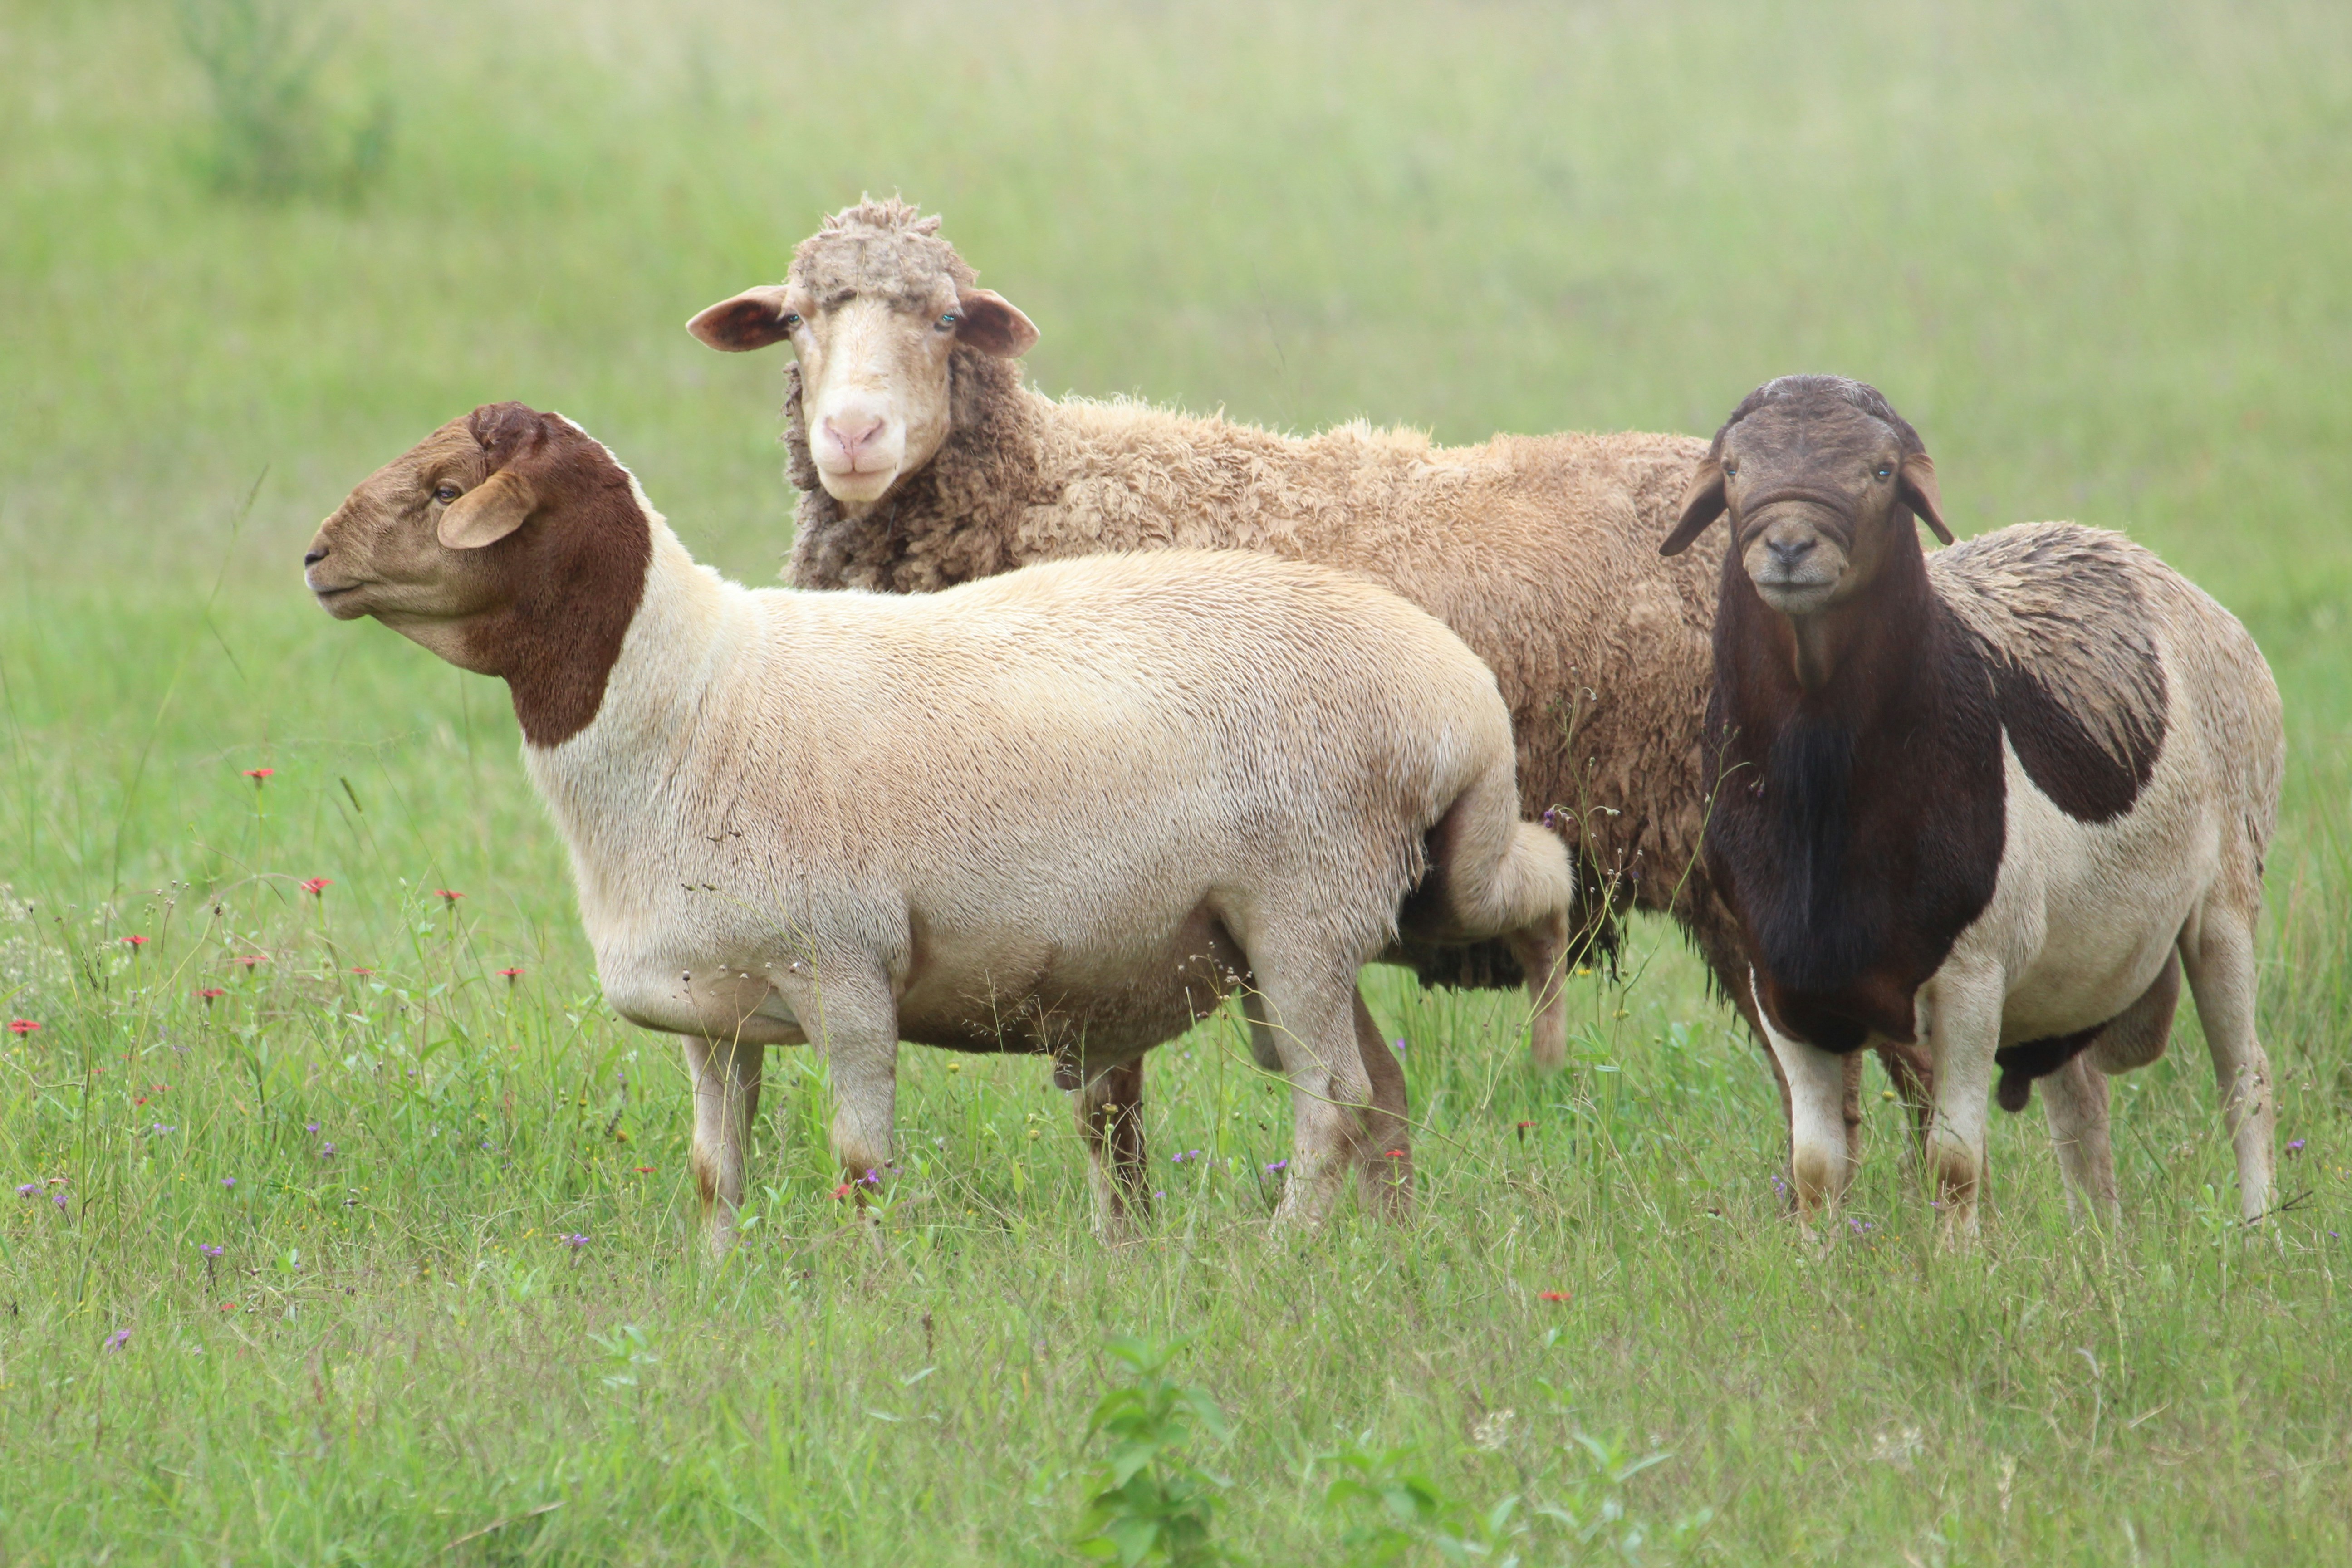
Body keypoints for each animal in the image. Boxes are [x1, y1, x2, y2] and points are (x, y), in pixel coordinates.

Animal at [303, 401, 1577, 1251]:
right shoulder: (712, 1015)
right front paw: (718, 1283)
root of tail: (1456, 694)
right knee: (1387, 1094)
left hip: (1302, 910)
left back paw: (1285, 1257)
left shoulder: (848, 973)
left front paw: (867, 1294)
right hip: (1290, 941)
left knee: (1334, 1104)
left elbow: (862, 1164)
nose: (314, 558)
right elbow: (718, 1169)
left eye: (441, 493)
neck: (688, 705)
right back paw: (1387, 1257)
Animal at [686, 197, 1937, 1167]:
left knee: (1887, 1066)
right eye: (796, 319)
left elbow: (1109, 1114)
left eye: (944, 319)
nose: (854, 437)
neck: (1048, 489)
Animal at [1658, 374, 2283, 1236]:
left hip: (2223, 905)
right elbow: (1815, 1168)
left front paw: (1957, 1263)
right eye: (1732, 470)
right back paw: (2098, 1251)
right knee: (2081, 1113)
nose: (1787, 546)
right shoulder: (1782, 988)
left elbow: (1954, 1164)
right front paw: (1813, 1257)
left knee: (2243, 1081)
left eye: (1882, 472)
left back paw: (2261, 1235)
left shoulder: (1971, 984)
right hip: (2065, 987)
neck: (1821, 801)